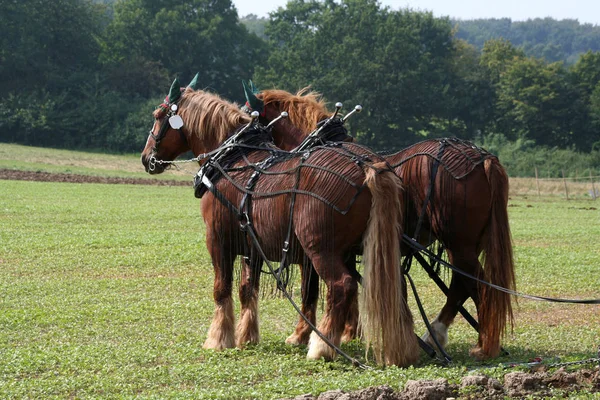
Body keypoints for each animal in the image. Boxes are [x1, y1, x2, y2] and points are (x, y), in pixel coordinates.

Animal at [141, 77, 422, 366]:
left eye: (158, 116)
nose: (146, 157)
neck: (230, 161)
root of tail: (368, 165)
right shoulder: (252, 246)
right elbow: (247, 289)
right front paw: (247, 335)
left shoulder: (218, 240)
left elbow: (222, 289)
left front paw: (218, 339)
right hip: (372, 249)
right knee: (394, 286)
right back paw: (403, 346)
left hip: (320, 248)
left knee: (341, 286)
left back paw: (322, 346)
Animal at [244, 84, 516, 360]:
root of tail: (484, 158)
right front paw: (349, 331)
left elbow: (310, 290)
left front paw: (303, 335)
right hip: (467, 245)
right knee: (463, 285)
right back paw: (443, 334)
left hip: (459, 244)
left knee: (477, 286)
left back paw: (482, 343)